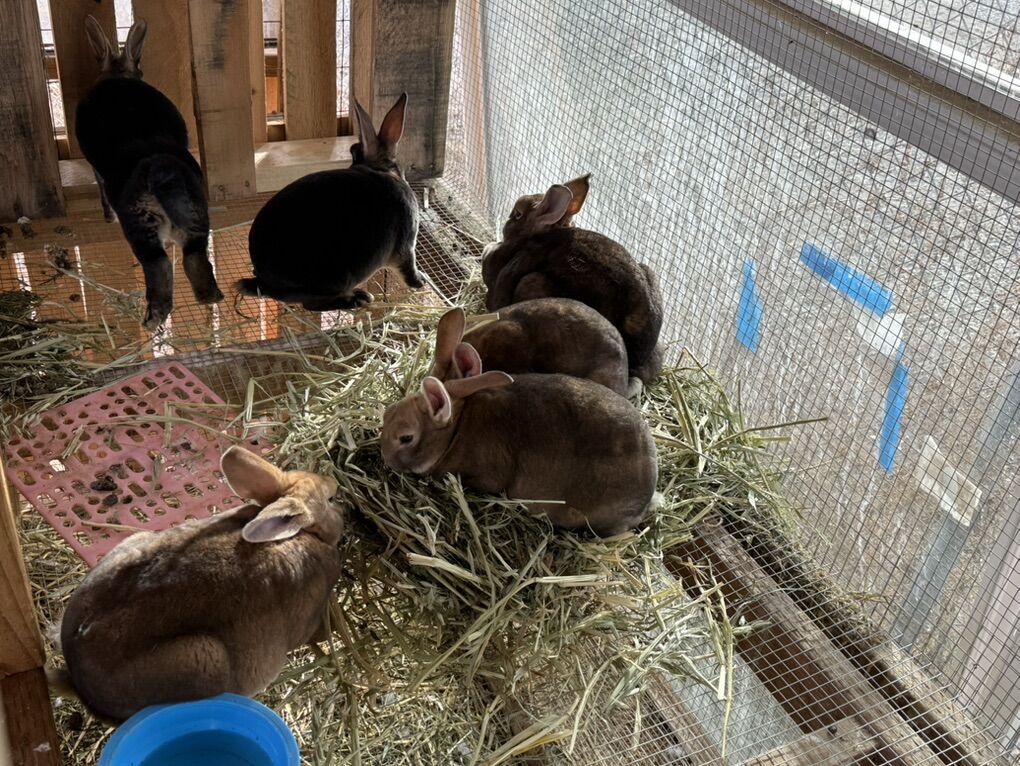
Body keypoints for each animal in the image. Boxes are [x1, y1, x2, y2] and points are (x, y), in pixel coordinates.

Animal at [76, 16, 222, 330]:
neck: (117, 74)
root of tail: (159, 172)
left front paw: (107, 217)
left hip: (141, 227)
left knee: (159, 265)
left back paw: (152, 320)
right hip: (195, 214)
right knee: (194, 257)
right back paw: (211, 296)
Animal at [239, 94, 425, 311]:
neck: (379, 169)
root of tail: (264, 284)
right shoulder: (406, 246)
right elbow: (408, 269)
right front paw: (421, 281)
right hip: (337, 278)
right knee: (311, 305)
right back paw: (358, 299)